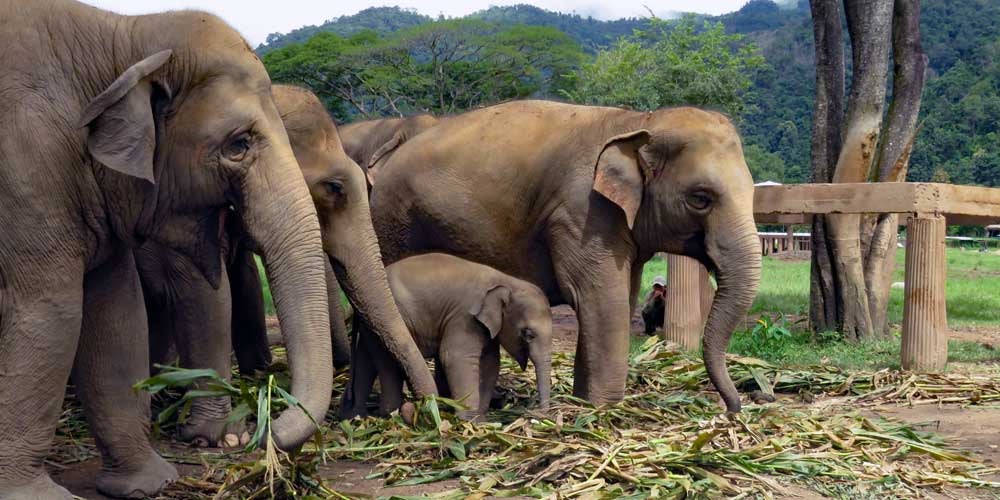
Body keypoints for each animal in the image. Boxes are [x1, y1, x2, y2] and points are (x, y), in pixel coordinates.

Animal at [0, 1, 434, 498]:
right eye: (239, 144)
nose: (419, 412)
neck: (121, 35)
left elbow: (117, 311)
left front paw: (148, 481)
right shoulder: (28, 167)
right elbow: (59, 309)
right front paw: (217, 436)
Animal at [344, 252, 556, 420]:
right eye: (528, 334)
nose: (538, 414)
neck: (505, 280)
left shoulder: (484, 326)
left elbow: (490, 363)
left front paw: (480, 418)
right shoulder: (465, 317)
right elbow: (454, 356)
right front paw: (470, 420)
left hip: (370, 324)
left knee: (366, 360)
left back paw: (354, 415)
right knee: (387, 361)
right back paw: (390, 414)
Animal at [372, 99, 760, 412]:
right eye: (700, 198)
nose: (734, 408)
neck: (638, 121)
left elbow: (621, 298)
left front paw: (584, 403)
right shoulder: (582, 213)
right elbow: (602, 302)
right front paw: (605, 410)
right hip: (394, 223)